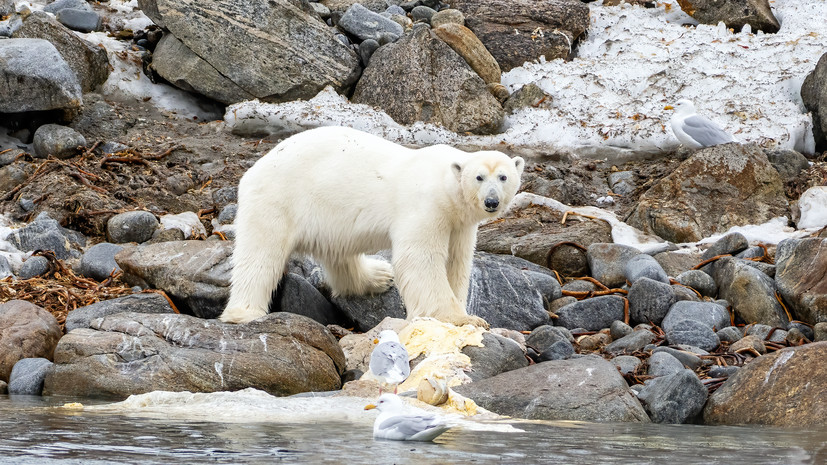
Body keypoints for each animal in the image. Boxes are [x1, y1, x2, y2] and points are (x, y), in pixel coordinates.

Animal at [222, 125, 524, 324]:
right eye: (479, 177)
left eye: (504, 177)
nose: (492, 201)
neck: (446, 185)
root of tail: (253, 169)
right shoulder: (425, 206)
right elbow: (420, 258)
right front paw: (461, 319)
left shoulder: (459, 222)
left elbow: (457, 260)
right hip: (277, 199)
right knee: (260, 255)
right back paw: (243, 312)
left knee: (338, 252)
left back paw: (378, 276)